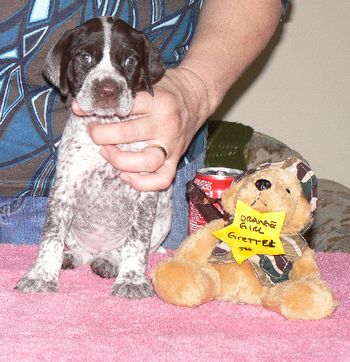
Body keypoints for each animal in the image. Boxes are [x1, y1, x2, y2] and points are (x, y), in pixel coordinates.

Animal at [16, 17, 172, 298]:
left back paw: (109, 261)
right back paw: (70, 257)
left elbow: (136, 241)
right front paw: (41, 275)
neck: (106, 123)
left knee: (119, 250)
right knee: (80, 250)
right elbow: (51, 236)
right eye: (85, 57)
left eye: (130, 61)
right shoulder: (66, 187)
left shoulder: (144, 191)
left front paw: (132, 280)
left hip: (162, 224)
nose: (108, 89)